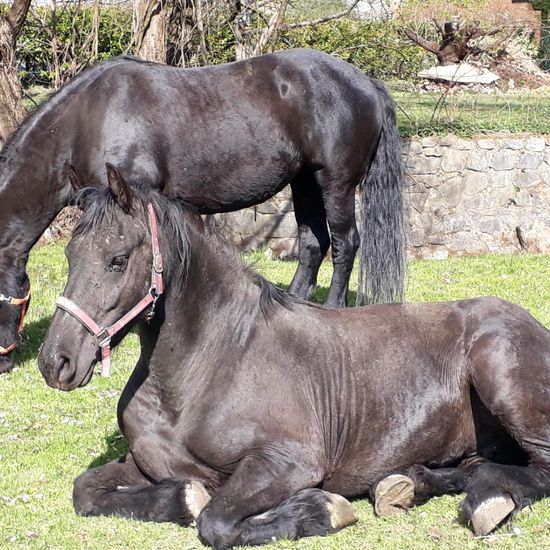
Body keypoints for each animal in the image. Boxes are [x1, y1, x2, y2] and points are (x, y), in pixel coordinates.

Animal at [1, 48, 406, 376]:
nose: (5, 361)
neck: (89, 118)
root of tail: (366, 82)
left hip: (335, 182)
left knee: (345, 243)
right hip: (304, 181)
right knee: (312, 244)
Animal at [38, 168, 550, 548]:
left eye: (118, 259)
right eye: (70, 254)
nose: (55, 362)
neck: (204, 371)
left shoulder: (289, 462)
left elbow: (216, 522)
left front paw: (321, 510)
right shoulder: (145, 464)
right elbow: (86, 491)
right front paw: (180, 499)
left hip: (500, 379)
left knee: (536, 468)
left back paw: (487, 504)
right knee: (475, 466)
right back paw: (405, 486)